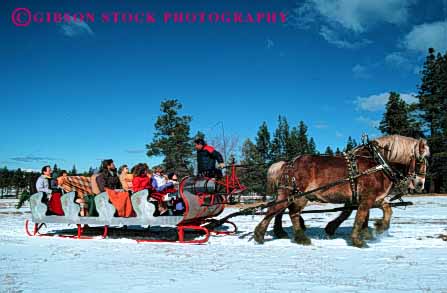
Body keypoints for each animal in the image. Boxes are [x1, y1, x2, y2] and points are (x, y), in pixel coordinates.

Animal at [254, 135, 428, 246]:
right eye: (421, 161)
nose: (420, 184)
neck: (378, 163)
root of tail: (288, 163)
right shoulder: (367, 198)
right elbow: (360, 216)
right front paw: (358, 240)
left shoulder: (371, 198)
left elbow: (384, 211)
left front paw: (377, 228)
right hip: (294, 194)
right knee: (278, 210)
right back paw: (261, 235)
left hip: (294, 195)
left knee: (287, 212)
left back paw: (295, 236)